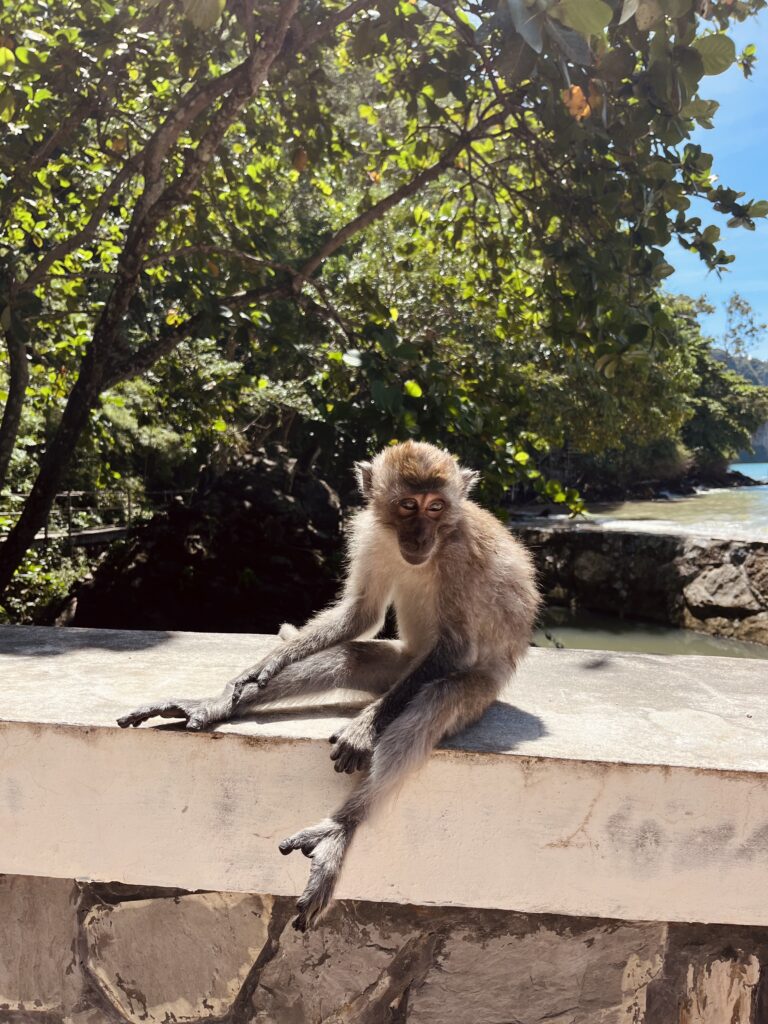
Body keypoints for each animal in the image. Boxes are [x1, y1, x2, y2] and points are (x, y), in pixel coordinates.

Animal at [118, 440, 540, 931]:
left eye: (437, 507)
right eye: (408, 506)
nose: (420, 537)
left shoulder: (459, 556)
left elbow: (454, 648)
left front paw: (362, 730)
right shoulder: (371, 536)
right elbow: (359, 614)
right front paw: (267, 662)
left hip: (476, 689)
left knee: (436, 697)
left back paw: (342, 826)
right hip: (400, 666)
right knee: (349, 657)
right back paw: (214, 705)